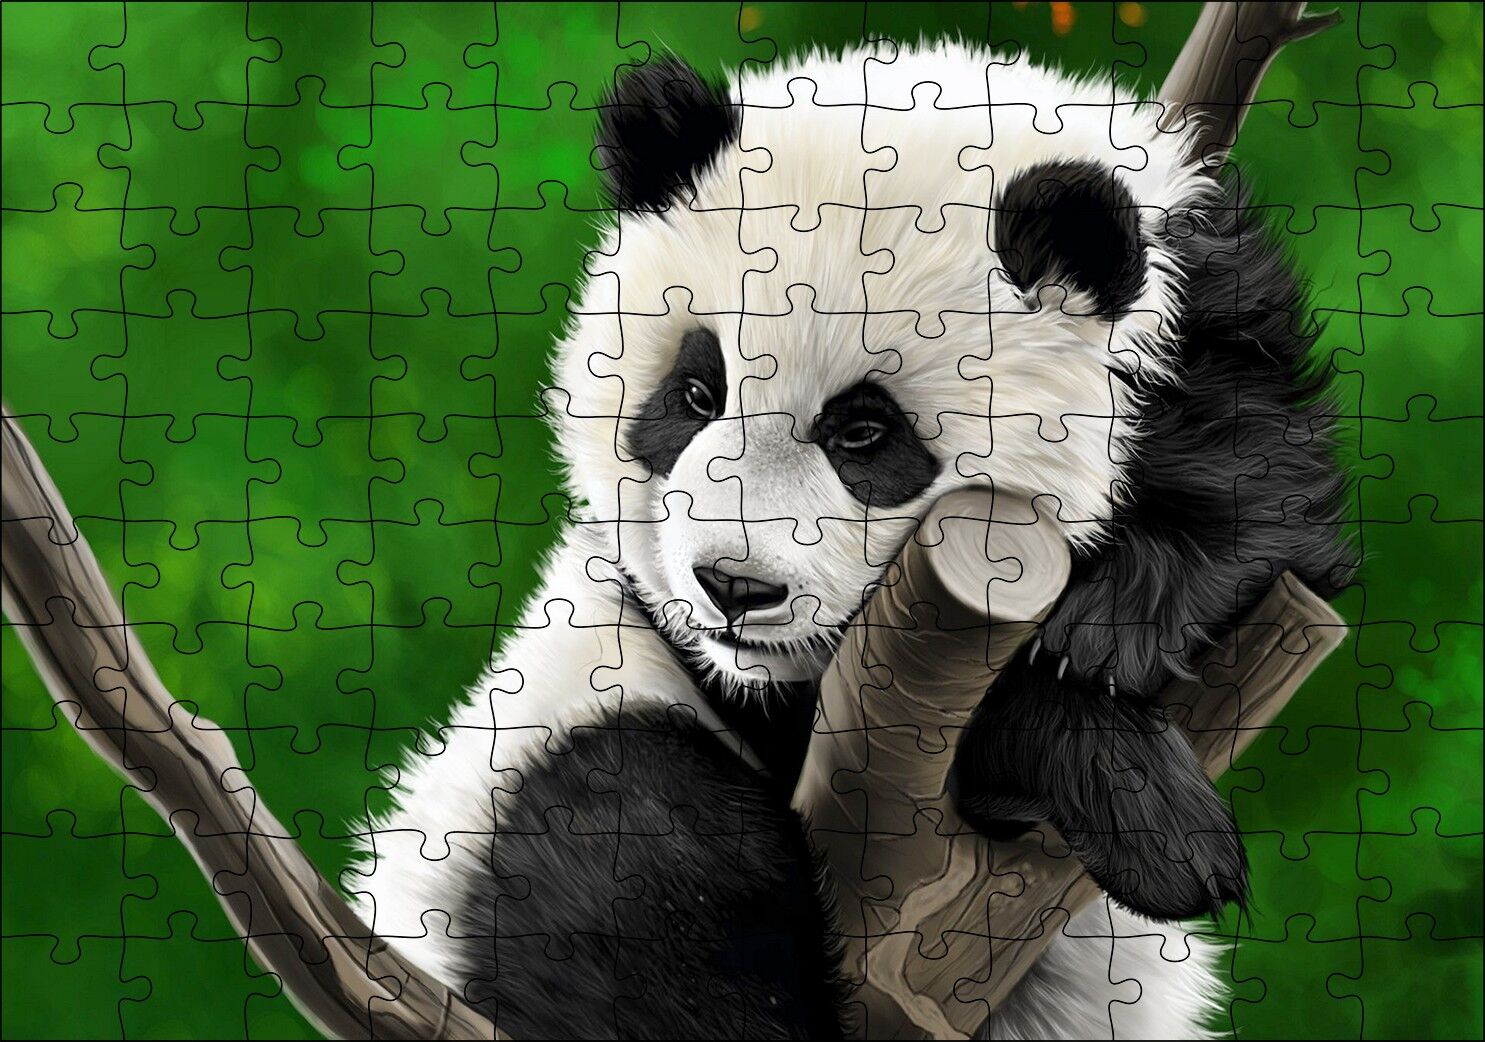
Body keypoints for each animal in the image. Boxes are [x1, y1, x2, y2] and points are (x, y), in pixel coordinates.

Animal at [350, 40, 1353, 1040]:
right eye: (697, 395)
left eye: (864, 432)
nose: (734, 588)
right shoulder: (697, 661)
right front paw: (1151, 815)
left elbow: (1251, 508)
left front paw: (1112, 639)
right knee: (630, 846)